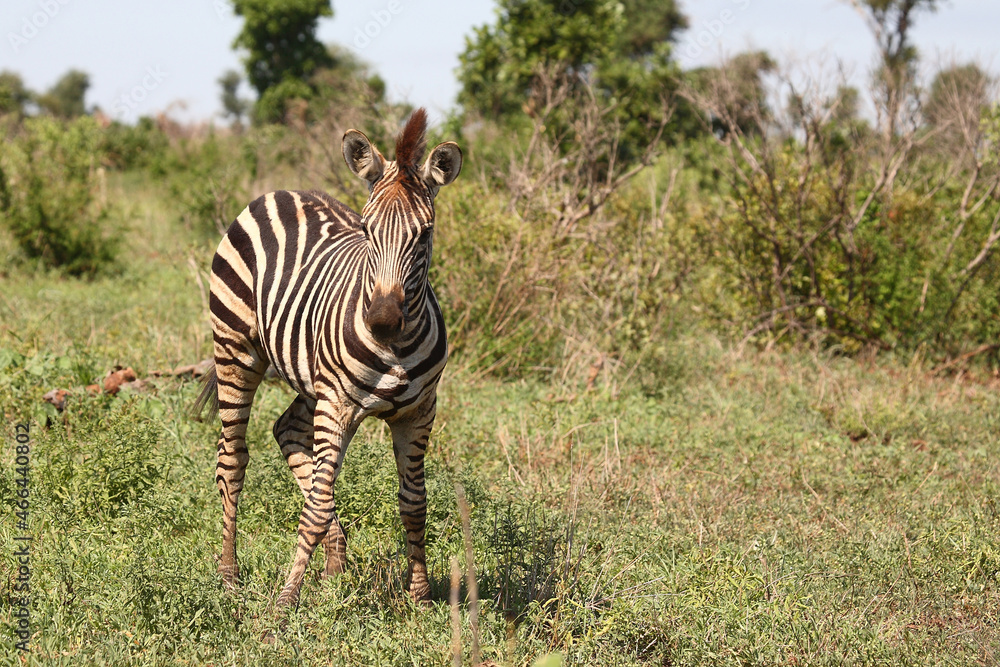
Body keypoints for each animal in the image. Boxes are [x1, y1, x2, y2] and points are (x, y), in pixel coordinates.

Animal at [198, 108, 462, 607]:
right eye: (367, 230)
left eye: (425, 234)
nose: (382, 322)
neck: (395, 349)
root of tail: (279, 192)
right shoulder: (337, 404)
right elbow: (317, 506)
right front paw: (284, 603)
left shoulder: (418, 412)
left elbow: (414, 503)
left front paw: (420, 597)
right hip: (236, 350)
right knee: (232, 459)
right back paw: (228, 575)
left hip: (312, 382)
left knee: (287, 431)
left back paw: (335, 568)